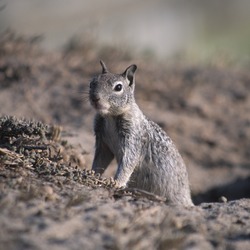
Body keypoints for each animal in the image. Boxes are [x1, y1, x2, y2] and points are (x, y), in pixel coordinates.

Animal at [89, 61, 193, 207]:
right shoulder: (103, 145)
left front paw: (116, 183)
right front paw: (92, 175)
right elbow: (99, 161)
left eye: (118, 87)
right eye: (93, 82)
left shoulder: (133, 139)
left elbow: (127, 164)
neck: (110, 116)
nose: (95, 98)